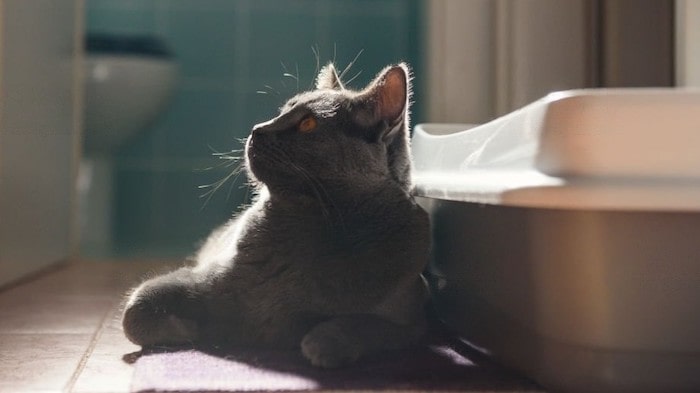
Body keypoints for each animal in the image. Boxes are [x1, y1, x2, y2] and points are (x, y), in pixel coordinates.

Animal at [123, 62, 430, 368]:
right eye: (282, 111)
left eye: (308, 124)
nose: (257, 129)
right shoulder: (200, 278)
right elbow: (134, 310)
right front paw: (192, 330)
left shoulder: (414, 317)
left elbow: (368, 325)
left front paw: (323, 342)